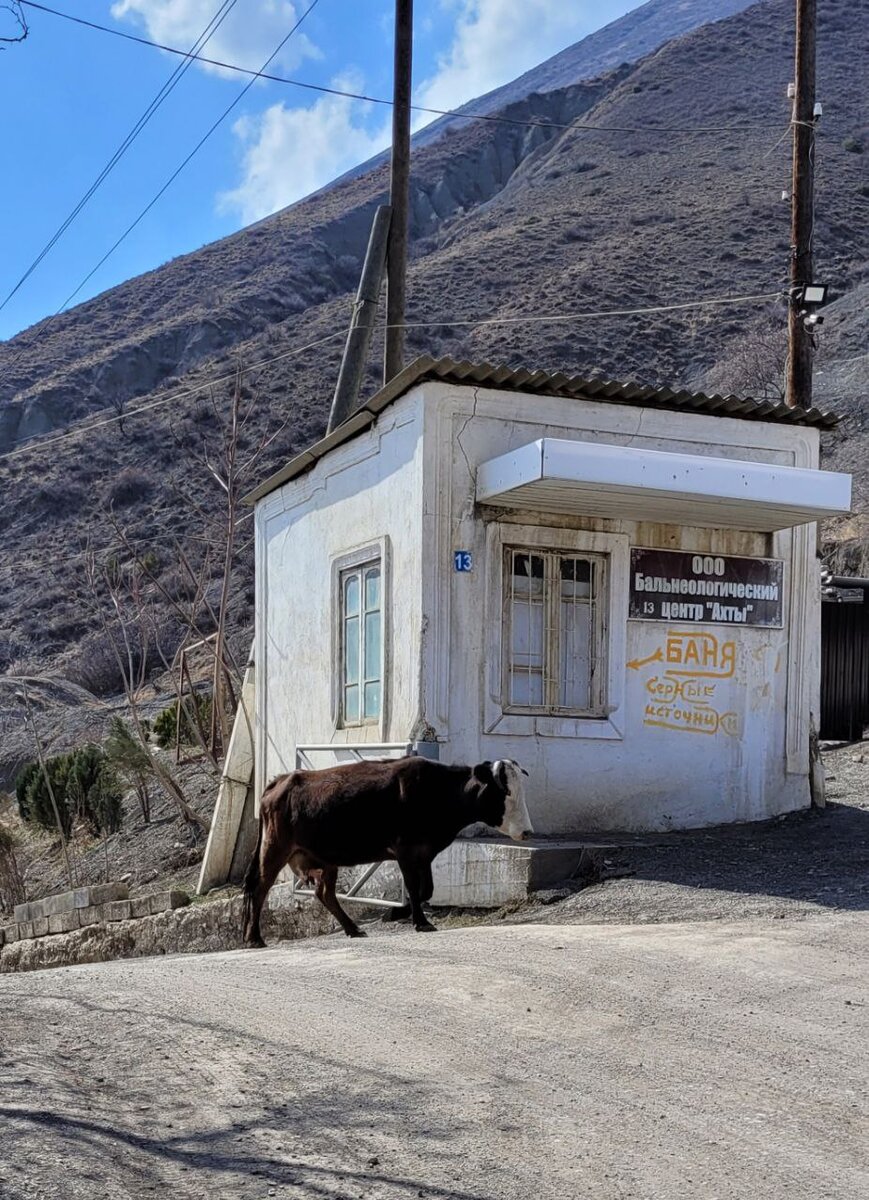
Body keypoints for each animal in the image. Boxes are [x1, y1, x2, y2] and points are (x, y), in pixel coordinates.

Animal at [241, 758, 532, 945]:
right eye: (505, 791)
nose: (527, 831)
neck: (438, 791)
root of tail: (282, 780)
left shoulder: (424, 854)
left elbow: (426, 890)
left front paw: (399, 913)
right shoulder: (405, 851)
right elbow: (414, 888)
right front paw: (420, 922)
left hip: (326, 861)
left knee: (325, 893)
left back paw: (353, 928)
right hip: (274, 849)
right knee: (260, 888)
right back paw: (254, 938)